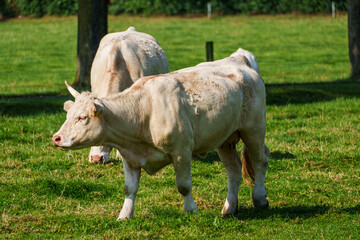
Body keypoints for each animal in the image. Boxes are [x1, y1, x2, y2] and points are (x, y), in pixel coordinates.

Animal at [52, 49, 268, 221]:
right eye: (68, 115)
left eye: (81, 117)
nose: (56, 138)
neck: (143, 111)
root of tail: (238, 60)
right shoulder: (129, 156)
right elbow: (129, 188)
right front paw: (124, 215)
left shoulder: (181, 152)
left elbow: (184, 185)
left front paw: (191, 210)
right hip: (224, 138)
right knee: (233, 170)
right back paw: (229, 208)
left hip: (254, 130)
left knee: (260, 160)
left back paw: (260, 198)